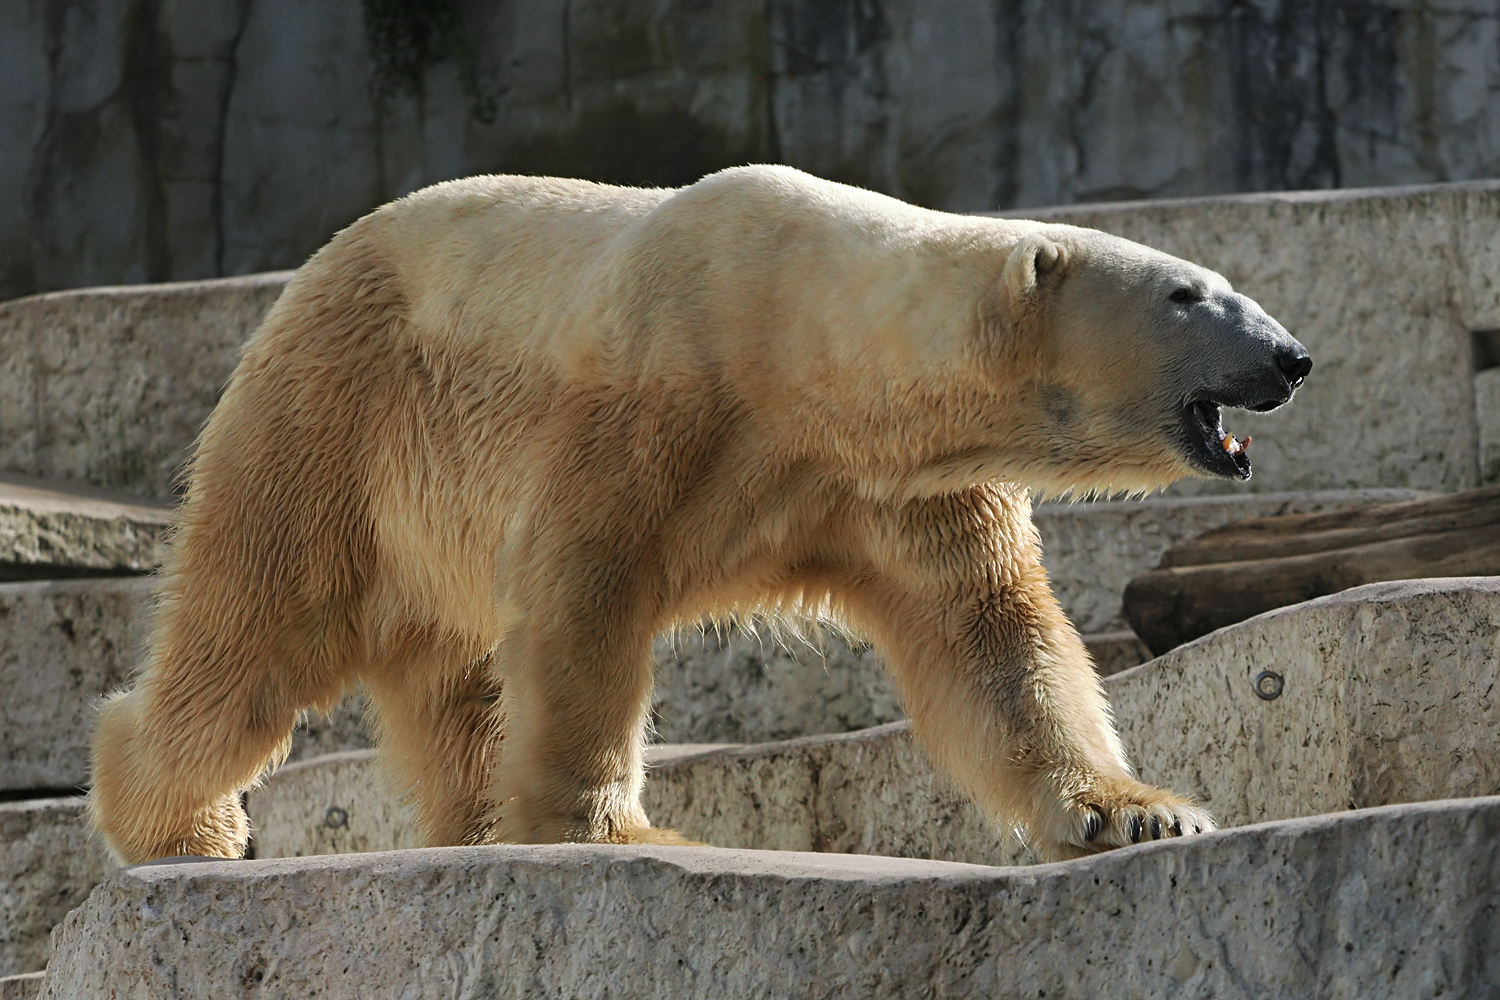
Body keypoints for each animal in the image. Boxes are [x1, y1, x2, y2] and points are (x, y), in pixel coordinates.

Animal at [93, 166, 1314, 869]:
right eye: (1187, 295)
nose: (1293, 357)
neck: (802, 341)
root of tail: (306, 277)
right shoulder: (657, 396)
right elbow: (584, 594)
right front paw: (614, 826)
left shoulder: (898, 485)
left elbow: (992, 643)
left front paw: (1142, 811)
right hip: (339, 420)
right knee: (257, 632)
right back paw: (179, 827)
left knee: (454, 676)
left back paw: (476, 822)